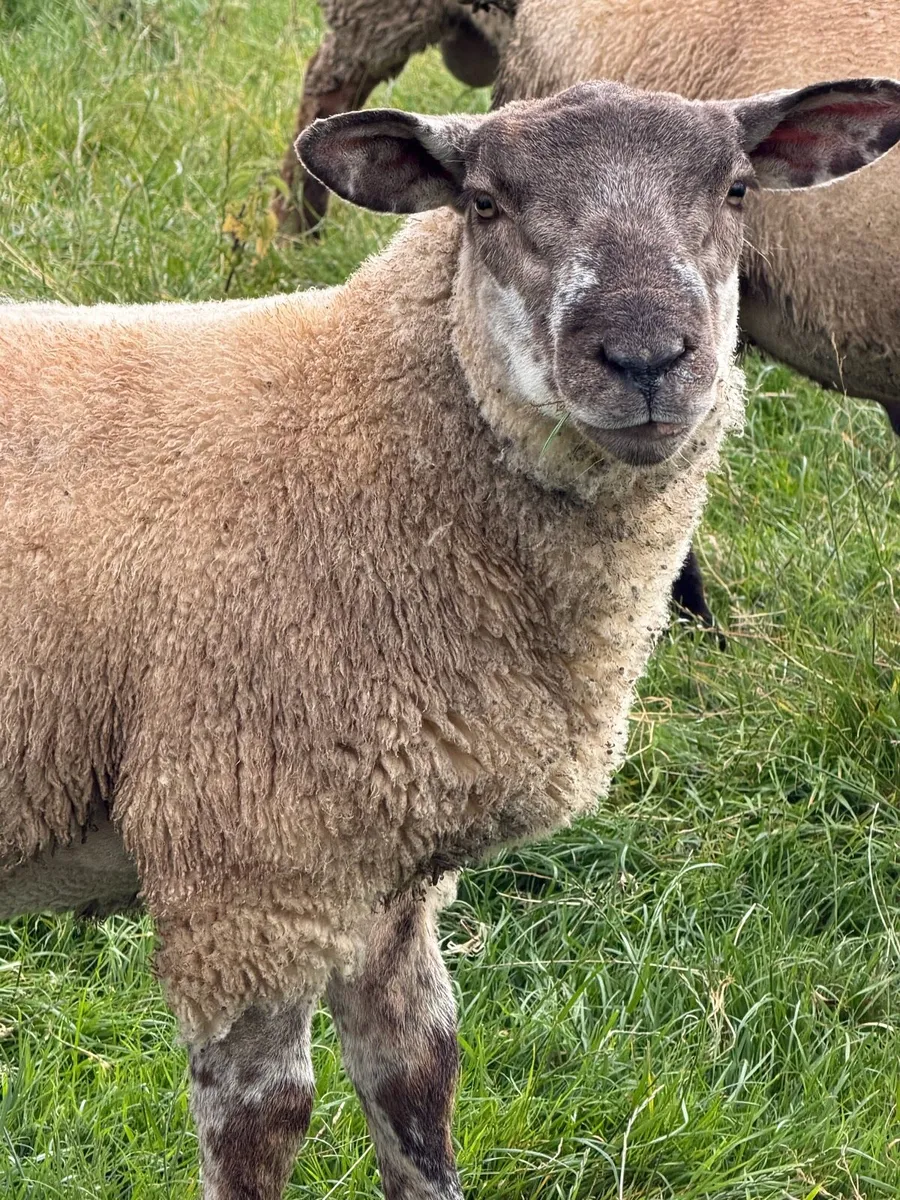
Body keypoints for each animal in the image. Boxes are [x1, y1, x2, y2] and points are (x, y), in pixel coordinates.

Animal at [3, 77, 897, 1200]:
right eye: (483, 204)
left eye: (737, 189)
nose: (646, 360)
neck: (356, 429)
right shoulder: (248, 866)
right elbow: (260, 1126)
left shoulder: (388, 863)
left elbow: (418, 1080)